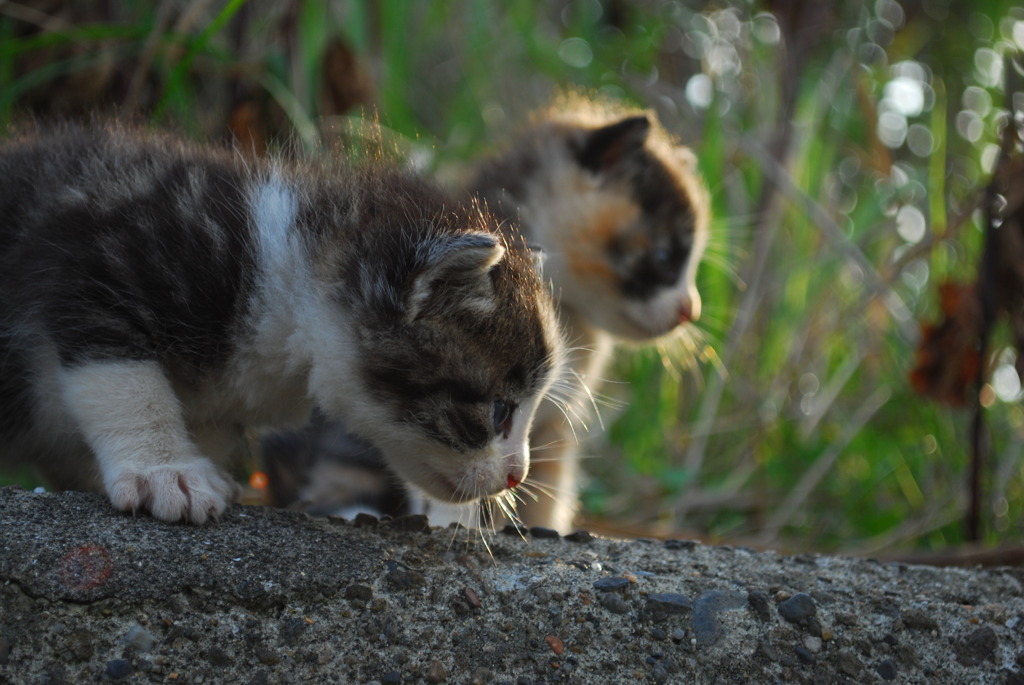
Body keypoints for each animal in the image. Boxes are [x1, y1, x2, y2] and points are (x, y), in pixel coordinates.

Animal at [0, 122, 561, 524]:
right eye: (499, 411)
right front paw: (166, 471)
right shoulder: (96, 258)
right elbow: (123, 378)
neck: (279, 275)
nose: (517, 476)